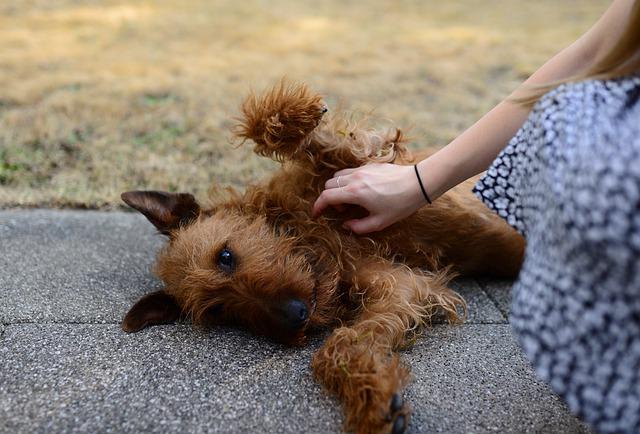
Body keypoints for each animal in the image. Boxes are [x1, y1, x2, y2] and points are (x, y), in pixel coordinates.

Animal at [121, 79, 524, 432]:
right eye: (221, 311)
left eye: (225, 256)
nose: (295, 317)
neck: (310, 233)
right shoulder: (402, 286)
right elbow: (339, 348)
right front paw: (373, 402)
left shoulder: (363, 166)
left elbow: (307, 140)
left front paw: (295, 116)